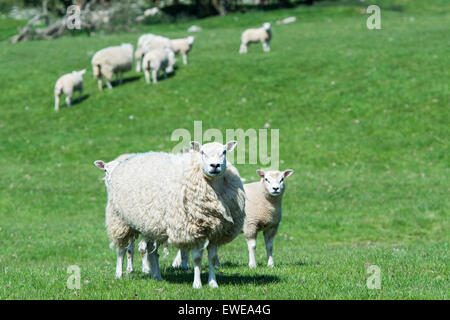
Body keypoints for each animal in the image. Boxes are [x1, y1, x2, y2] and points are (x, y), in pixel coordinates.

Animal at [106, 141, 246, 288]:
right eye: (202, 152)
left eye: (224, 152)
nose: (215, 166)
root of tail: (133, 157)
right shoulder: (194, 230)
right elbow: (197, 258)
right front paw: (197, 284)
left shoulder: (216, 231)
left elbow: (212, 258)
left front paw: (213, 283)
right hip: (119, 219)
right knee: (121, 249)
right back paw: (119, 274)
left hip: (151, 225)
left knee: (152, 251)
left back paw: (156, 276)